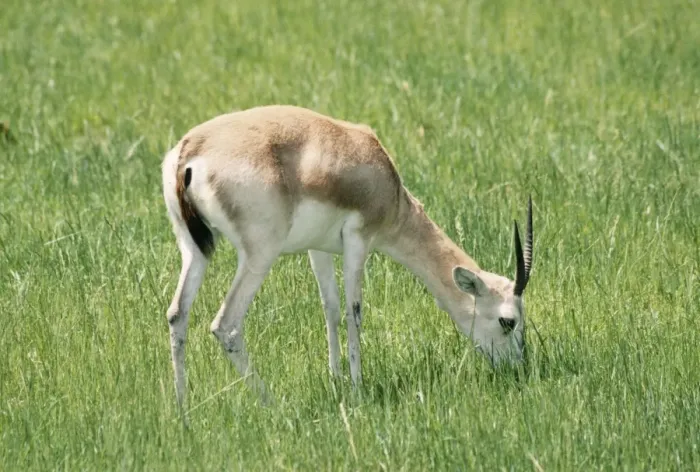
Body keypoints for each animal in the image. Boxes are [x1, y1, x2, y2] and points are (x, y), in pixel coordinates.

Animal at [162, 105, 533, 407]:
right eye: (508, 321)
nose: (518, 369)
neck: (384, 181)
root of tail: (191, 149)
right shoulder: (359, 240)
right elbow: (355, 311)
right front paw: (357, 387)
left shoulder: (318, 249)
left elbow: (330, 308)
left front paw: (336, 379)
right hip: (259, 256)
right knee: (225, 326)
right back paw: (273, 404)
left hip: (195, 250)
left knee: (177, 314)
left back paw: (183, 410)